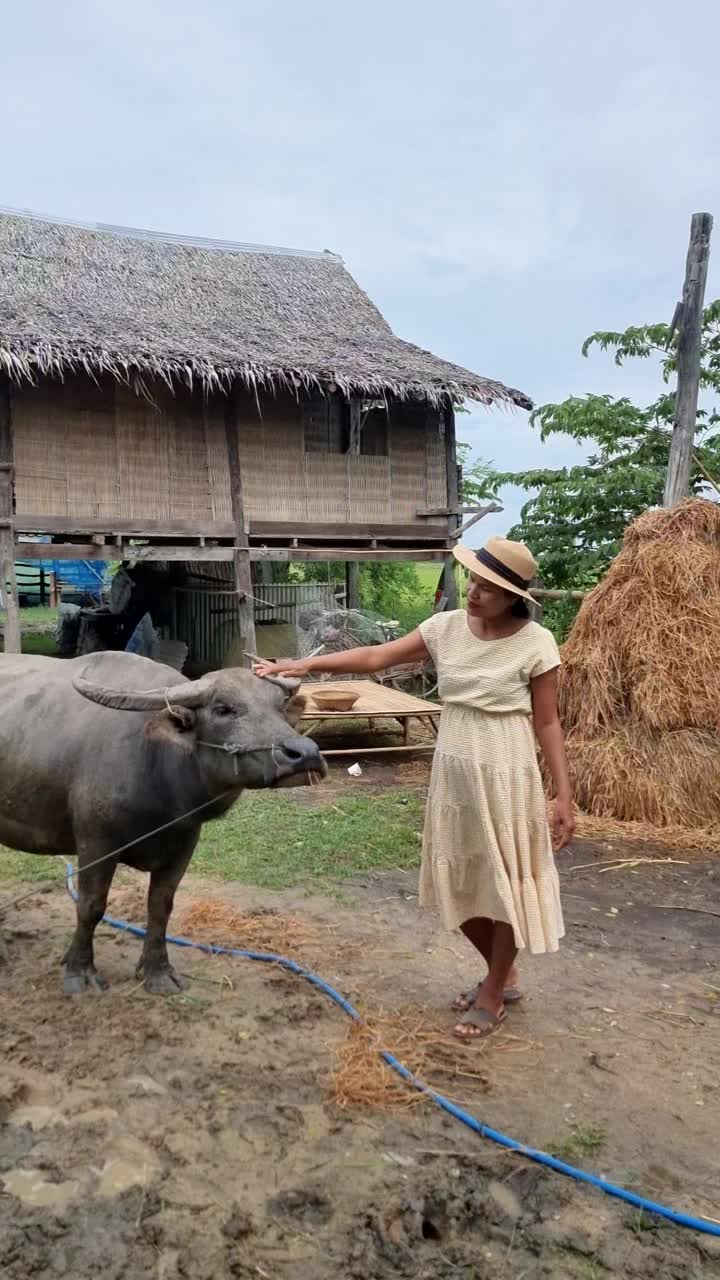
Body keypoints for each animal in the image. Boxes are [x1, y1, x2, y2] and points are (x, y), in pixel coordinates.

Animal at [0, 655, 322, 993]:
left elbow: (160, 906)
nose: (305, 755)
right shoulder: (95, 842)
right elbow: (91, 906)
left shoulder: (184, 843)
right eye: (223, 708)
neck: (156, 764)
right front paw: (78, 969)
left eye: (278, 706)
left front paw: (157, 971)